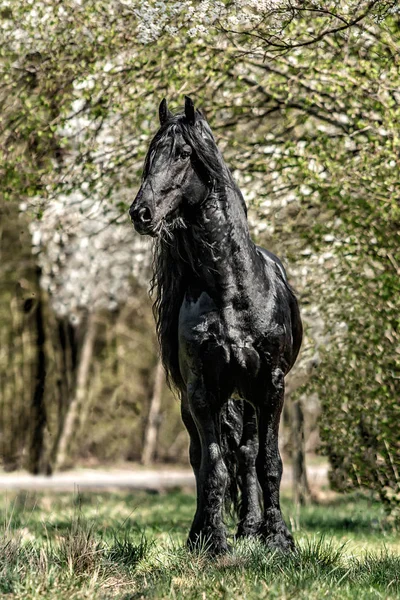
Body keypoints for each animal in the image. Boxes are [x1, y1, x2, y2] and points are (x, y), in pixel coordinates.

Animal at [130, 97, 302, 552]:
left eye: (184, 153)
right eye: (150, 155)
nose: (140, 213)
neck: (231, 290)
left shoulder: (271, 385)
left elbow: (269, 461)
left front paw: (278, 539)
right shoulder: (202, 390)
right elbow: (212, 466)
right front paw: (213, 542)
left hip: (248, 396)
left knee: (248, 452)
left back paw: (252, 528)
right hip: (206, 400)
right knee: (207, 458)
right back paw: (207, 533)